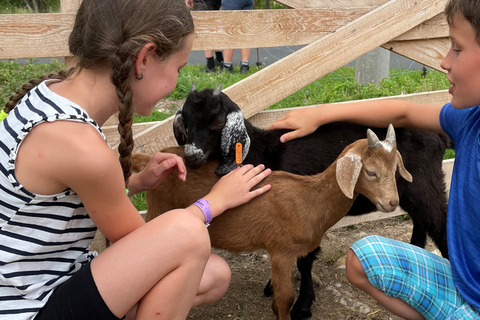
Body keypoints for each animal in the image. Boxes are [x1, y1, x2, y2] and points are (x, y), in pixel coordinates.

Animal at [131, 124, 412, 318]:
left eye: (395, 169)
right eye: (371, 172)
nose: (391, 203)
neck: (311, 199)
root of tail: (151, 159)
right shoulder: (281, 251)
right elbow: (284, 299)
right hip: (158, 208)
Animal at [173, 83, 450, 320]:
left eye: (218, 121)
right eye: (185, 119)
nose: (192, 158)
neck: (266, 152)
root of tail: (440, 136)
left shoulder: (305, 213)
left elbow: (305, 260)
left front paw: (302, 306)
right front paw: (273, 286)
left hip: (424, 184)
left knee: (440, 223)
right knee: (421, 223)